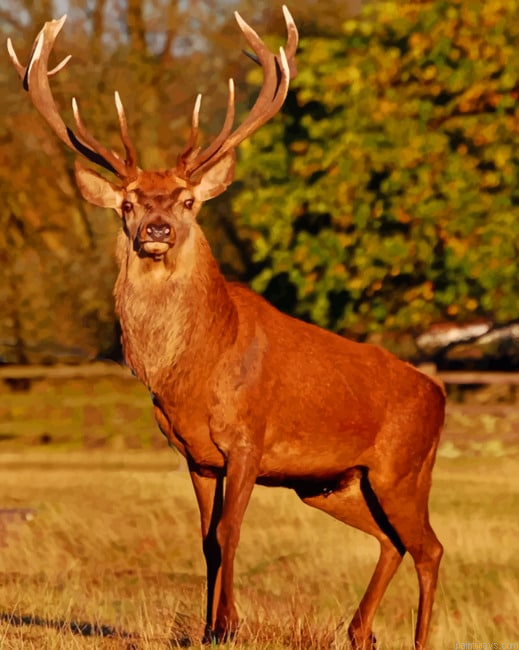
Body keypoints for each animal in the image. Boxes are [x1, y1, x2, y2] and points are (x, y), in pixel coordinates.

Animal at [8, 8, 445, 649]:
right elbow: (207, 542)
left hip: (403, 469)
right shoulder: (195, 456)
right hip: (335, 483)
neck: (194, 372)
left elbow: (230, 533)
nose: (158, 228)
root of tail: (439, 394)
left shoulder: (247, 440)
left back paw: (415, 639)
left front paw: (228, 626)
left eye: (188, 201)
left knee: (430, 546)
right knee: (392, 540)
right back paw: (358, 631)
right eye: (129, 203)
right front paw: (210, 627)